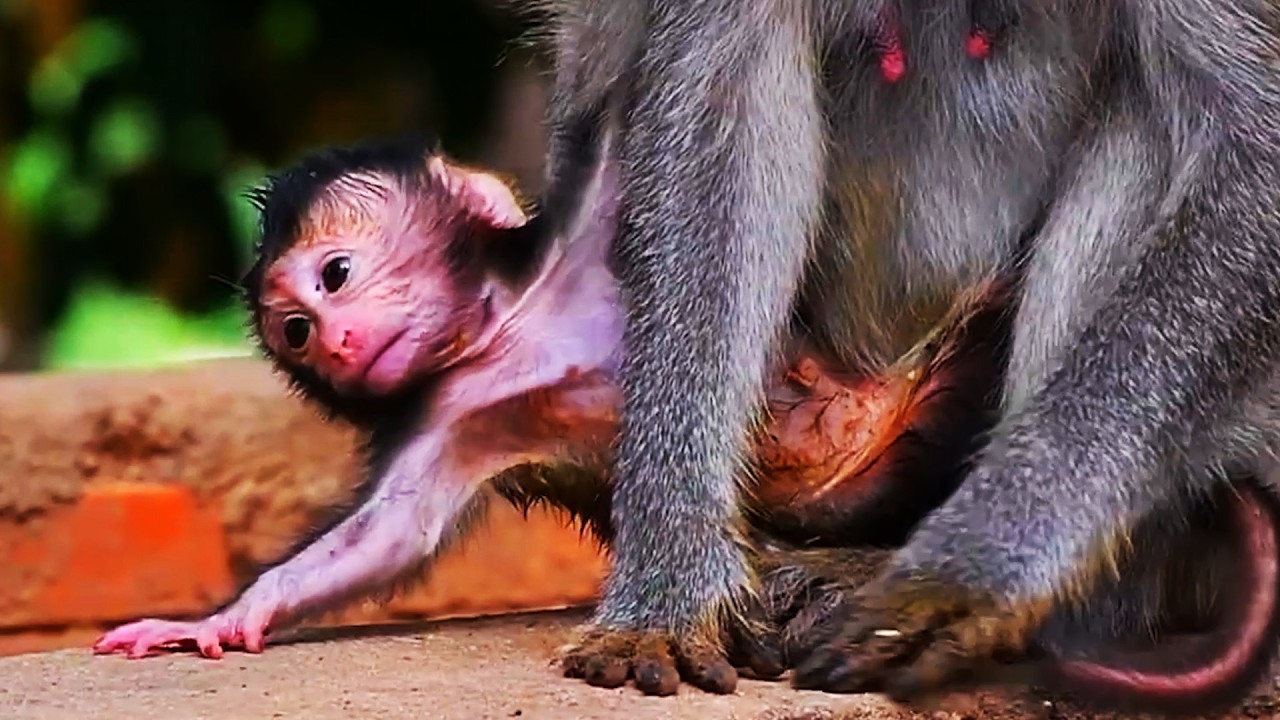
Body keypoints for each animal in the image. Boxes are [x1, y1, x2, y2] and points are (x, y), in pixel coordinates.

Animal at [93, 137, 1280, 713]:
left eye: (336, 276)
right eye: (292, 328)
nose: (334, 342)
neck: (512, 329)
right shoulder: (456, 411)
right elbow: (386, 532)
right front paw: (211, 624)